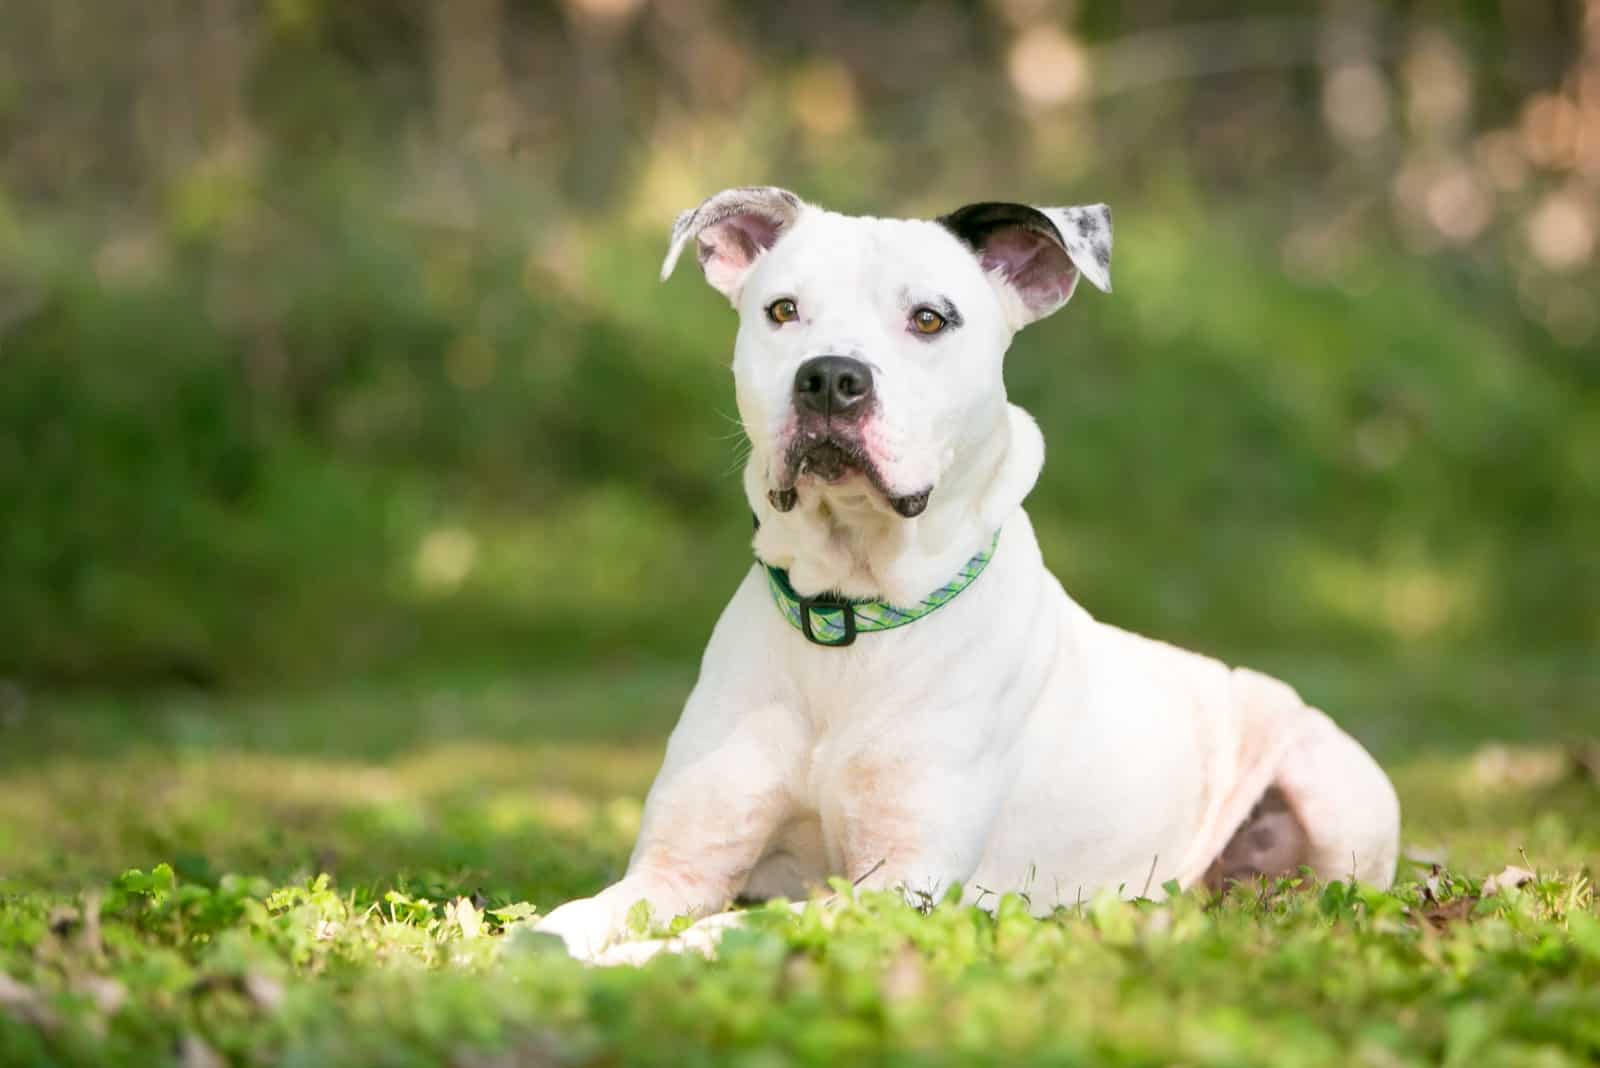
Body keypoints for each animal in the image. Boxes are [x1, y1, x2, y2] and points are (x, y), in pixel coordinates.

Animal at [537, 187, 1401, 965]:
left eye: (929, 319)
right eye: (782, 311)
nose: (830, 378)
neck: (850, 619)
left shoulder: (899, 884)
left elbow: (732, 930)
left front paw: (645, 960)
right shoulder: (679, 863)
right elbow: (573, 919)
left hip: (1330, 783)